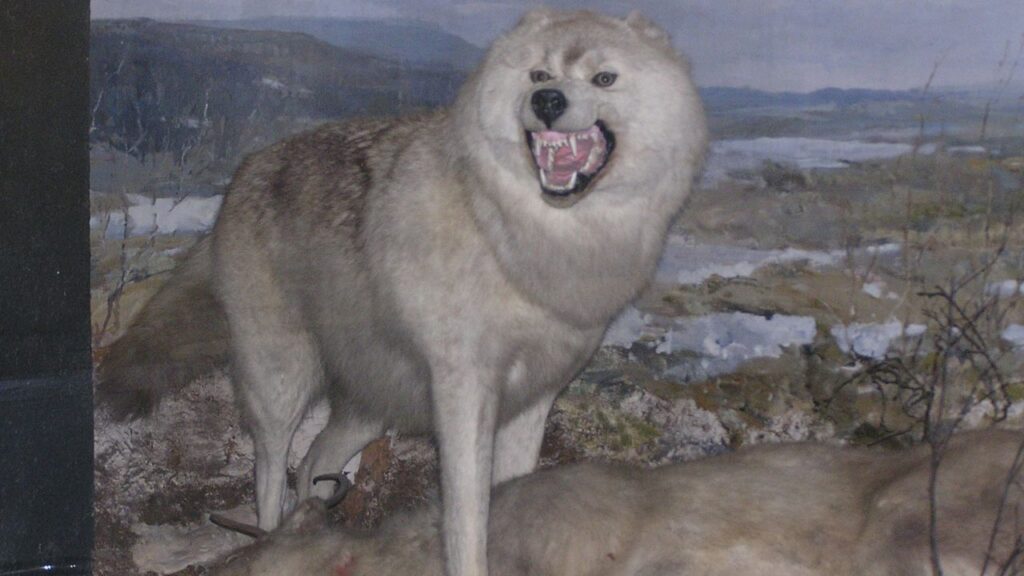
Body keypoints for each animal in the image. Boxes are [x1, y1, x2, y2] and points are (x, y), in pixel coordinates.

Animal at [96, 8, 706, 576]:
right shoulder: (464, 395)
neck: (527, 241)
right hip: (281, 382)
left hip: (368, 408)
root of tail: (241, 175)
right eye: (539, 74)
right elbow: (466, 521)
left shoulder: (535, 398)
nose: (547, 100)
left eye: (604, 78)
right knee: (269, 476)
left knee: (310, 466)